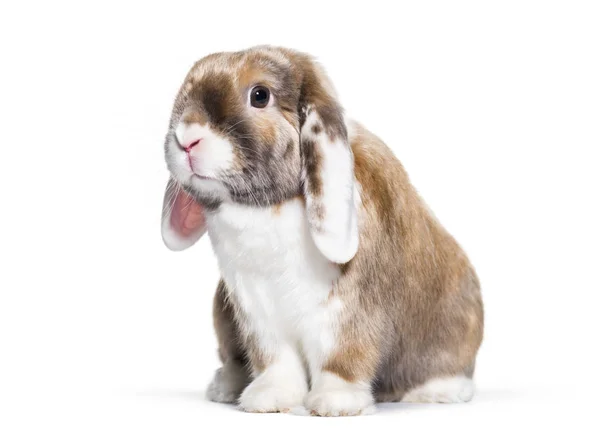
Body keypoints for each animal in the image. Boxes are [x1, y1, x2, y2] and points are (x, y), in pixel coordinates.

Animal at [159, 45, 482, 416]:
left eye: (260, 95)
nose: (186, 138)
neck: (268, 207)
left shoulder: (346, 311)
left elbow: (340, 355)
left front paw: (335, 403)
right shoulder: (258, 313)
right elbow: (276, 361)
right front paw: (269, 398)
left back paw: (440, 391)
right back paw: (226, 386)